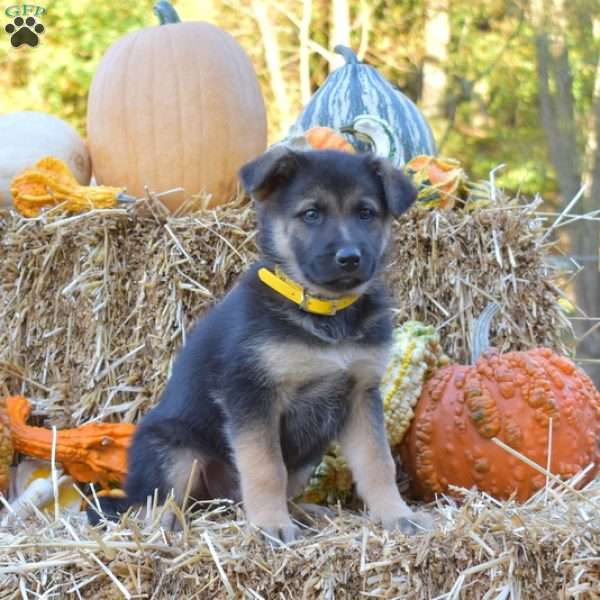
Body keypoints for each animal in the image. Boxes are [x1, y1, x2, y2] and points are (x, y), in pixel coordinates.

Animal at [116, 148, 432, 540]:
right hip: (174, 446)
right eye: (311, 214)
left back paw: (305, 512)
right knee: (152, 500)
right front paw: (270, 524)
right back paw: (165, 522)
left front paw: (397, 515)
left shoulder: (361, 393)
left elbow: (378, 462)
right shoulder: (251, 394)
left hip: (309, 452)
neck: (324, 312)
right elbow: (265, 467)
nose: (349, 258)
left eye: (366, 213)